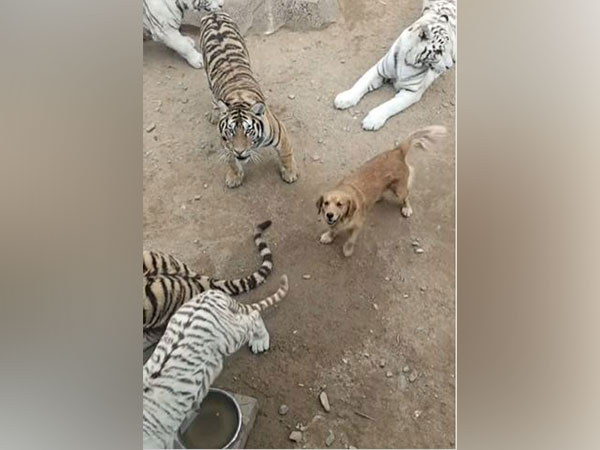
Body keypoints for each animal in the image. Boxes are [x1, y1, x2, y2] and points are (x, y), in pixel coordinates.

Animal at [316, 125, 448, 256]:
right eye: (326, 203)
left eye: (340, 204)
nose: (329, 215)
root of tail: (397, 151)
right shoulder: (334, 222)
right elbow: (333, 229)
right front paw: (329, 236)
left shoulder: (358, 225)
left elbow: (351, 239)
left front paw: (348, 249)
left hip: (399, 191)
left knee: (406, 195)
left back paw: (406, 208)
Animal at [336, 0, 458, 130]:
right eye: (439, 51)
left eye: (449, 49)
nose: (450, 66)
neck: (407, 60)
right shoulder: (379, 69)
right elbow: (361, 83)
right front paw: (344, 98)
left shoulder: (411, 92)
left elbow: (391, 105)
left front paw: (372, 120)